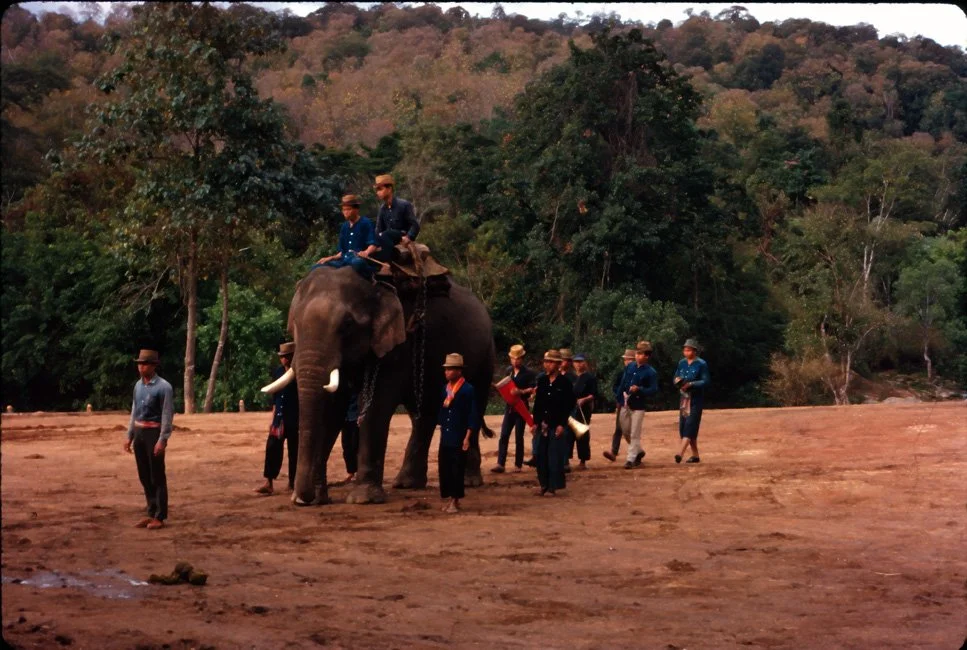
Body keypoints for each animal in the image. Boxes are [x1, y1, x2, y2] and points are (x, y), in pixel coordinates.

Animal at [278, 265, 496, 506]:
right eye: (294, 324)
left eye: (347, 325)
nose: (302, 498)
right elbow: (332, 409)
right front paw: (317, 499)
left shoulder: (398, 344)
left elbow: (376, 406)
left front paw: (363, 500)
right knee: (423, 415)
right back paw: (407, 484)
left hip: (485, 356)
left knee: (474, 405)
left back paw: (469, 482)